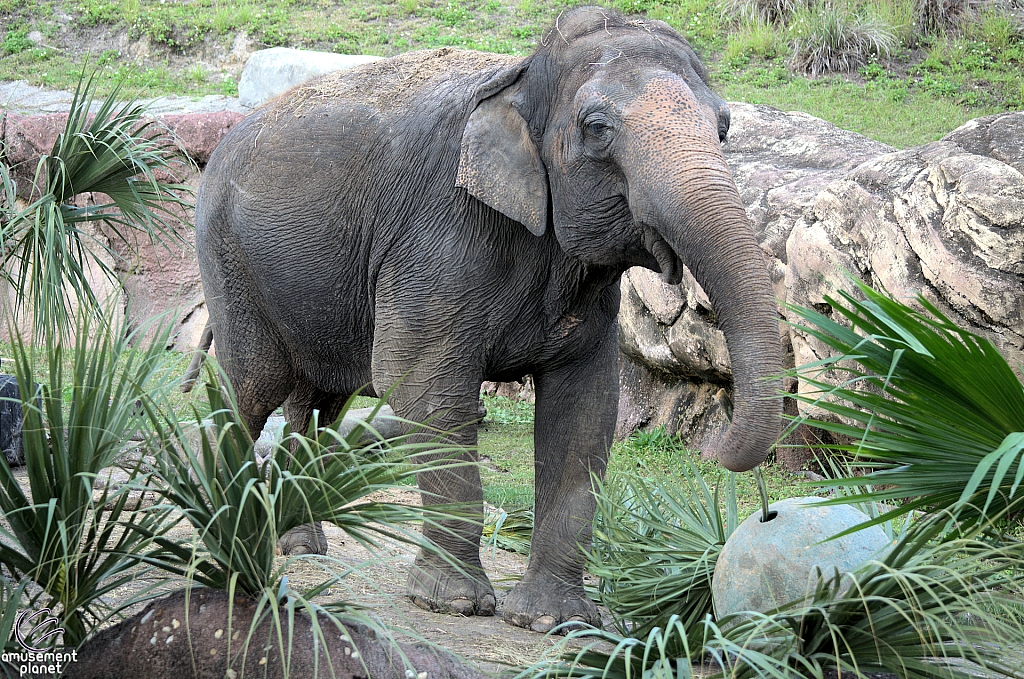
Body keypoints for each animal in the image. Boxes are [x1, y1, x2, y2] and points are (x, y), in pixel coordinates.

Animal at [190, 3, 782, 630]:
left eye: (723, 128)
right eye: (597, 127)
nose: (723, 452)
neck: (521, 76)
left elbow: (585, 407)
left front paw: (553, 620)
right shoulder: (439, 235)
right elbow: (421, 386)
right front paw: (452, 603)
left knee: (318, 401)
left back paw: (300, 544)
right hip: (227, 259)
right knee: (252, 388)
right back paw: (229, 539)